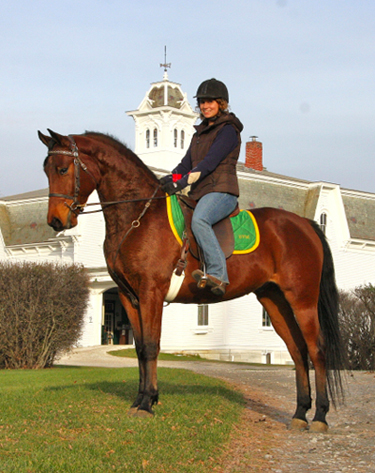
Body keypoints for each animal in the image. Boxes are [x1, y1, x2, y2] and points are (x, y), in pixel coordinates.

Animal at [39, 129, 346, 432]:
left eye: (63, 168)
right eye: (46, 170)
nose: (56, 221)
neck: (140, 216)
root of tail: (305, 224)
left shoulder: (151, 292)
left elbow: (151, 346)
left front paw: (147, 402)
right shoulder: (129, 297)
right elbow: (139, 348)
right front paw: (140, 399)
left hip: (302, 300)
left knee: (317, 350)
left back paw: (320, 415)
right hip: (274, 300)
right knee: (297, 351)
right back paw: (300, 412)